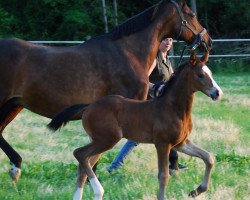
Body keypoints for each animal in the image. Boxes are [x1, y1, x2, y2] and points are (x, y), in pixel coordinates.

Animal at [47, 52, 223, 200]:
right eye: (200, 75)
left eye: (211, 73)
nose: (217, 93)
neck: (173, 109)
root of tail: (88, 106)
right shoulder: (162, 144)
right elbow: (163, 175)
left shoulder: (180, 143)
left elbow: (209, 158)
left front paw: (196, 191)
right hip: (106, 140)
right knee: (79, 154)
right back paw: (99, 190)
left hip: (99, 141)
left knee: (84, 165)